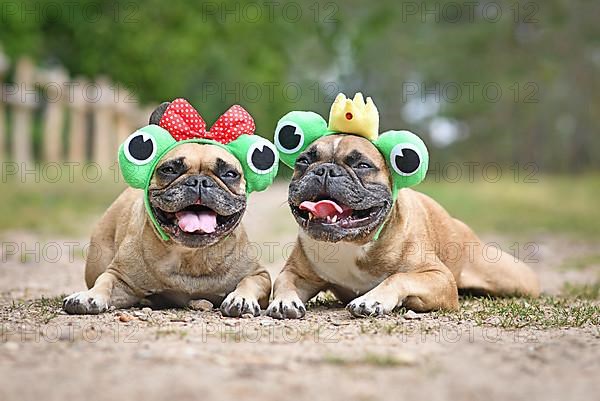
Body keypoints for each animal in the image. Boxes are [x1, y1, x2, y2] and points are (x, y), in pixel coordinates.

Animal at [62, 98, 278, 314]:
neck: (191, 255)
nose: (199, 181)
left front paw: (241, 298)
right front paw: (88, 296)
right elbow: (105, 280)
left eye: (230, 174)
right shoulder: (119, 276)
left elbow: (248, 282)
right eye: (169, 170)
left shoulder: (259, 274)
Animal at [268, 92, 540, 318]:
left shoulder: (438, 276)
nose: (324, 170)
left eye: (362, 165)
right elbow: (283, 282)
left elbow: (399, 277)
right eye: (304, 161)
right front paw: (284, 301)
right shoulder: (296, 272)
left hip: (511, 278)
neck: (353, 243)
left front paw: (372, 300)